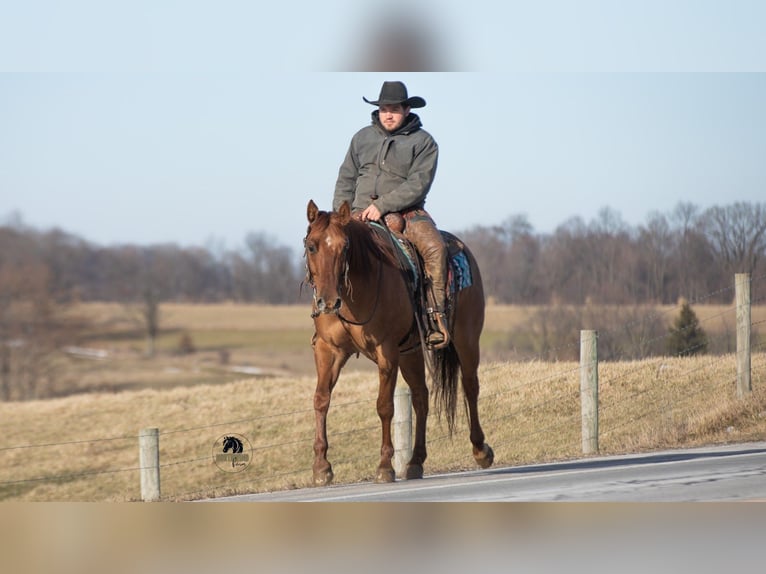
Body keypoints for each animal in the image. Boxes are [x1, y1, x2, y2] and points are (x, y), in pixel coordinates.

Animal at [303, 199, 494, 485]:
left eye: (344, 246)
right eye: (312, 246)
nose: (328, 301)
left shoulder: (387, 352)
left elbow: (384, 406)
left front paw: (384, 466)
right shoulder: (330, 350)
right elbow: (321, 399)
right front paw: (321, 467)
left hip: (466, 340)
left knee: (470, 386)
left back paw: (481, 450)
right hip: (410, 352)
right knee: (421, 397)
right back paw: (415, 461)